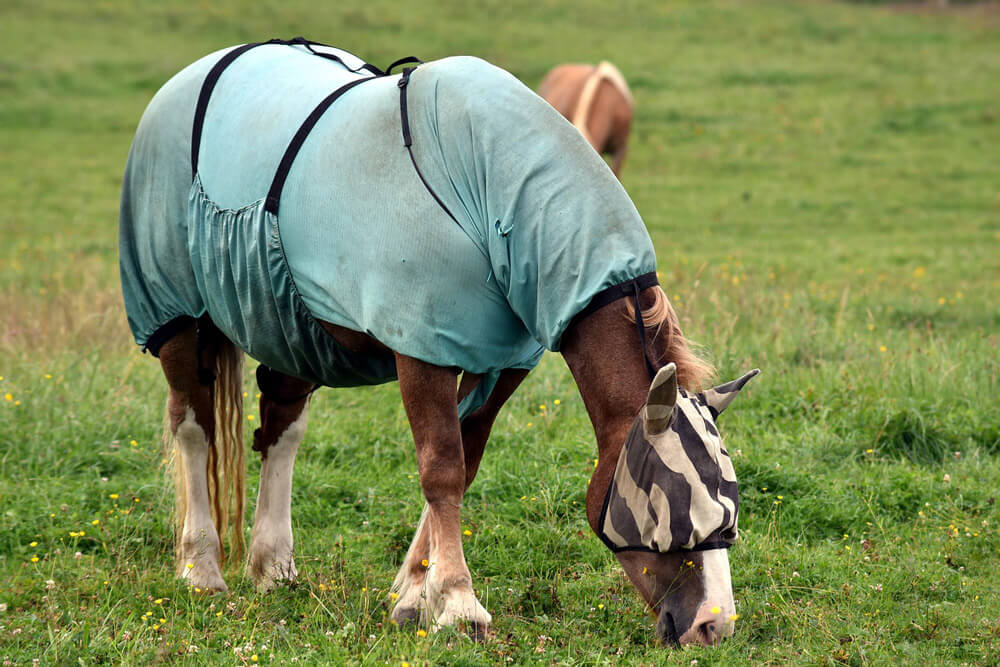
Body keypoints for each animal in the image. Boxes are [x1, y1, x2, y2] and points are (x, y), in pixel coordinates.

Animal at [117, 37, 752, 648]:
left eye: (730, 514)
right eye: (680, 519)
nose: (714, 626)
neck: (489, 187)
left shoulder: (504, 362)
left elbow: (465, 463)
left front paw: (414, 595)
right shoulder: (424, 351)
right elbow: (442, 469)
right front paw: (458, 603)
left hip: (285, 324)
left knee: (281, 428)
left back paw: (273, 566)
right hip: (176, 317)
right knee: (193, 426)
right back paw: (201, 568)